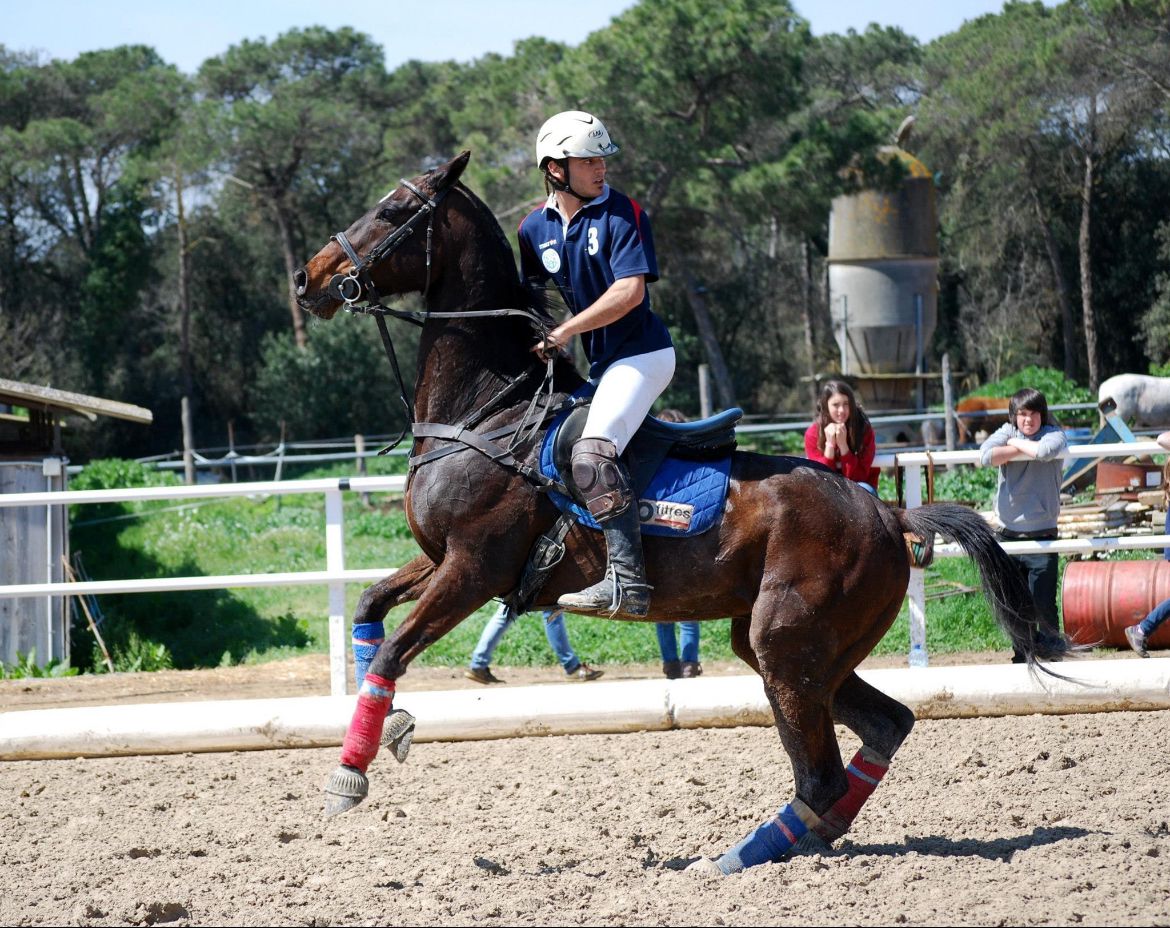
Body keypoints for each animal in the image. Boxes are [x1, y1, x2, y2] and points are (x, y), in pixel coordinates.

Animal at [292, 152, 1071, 875]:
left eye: (393, 211)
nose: (308, 278)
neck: (487, 409)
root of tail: (887, 515)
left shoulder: (474, 569)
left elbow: (393, 649)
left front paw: (348, 775)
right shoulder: (444, 559)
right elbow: (368, 607)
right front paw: (390, 723)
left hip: (785, 642)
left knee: (821, 770)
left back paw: (734, 862)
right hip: (795, 647)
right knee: (884, 726)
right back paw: (802, 841)